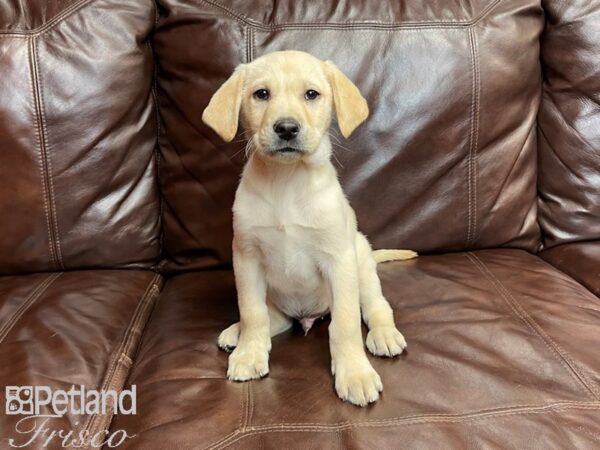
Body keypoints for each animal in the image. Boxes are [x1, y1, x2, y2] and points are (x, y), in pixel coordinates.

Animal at [202, 50, 418, 408]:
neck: (287, 181)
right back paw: (237, 334)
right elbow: (252, 312)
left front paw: (354, 374)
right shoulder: (246, 257)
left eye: (311, 94)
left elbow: (345, 324)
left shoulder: (338, 261)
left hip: (362, 267)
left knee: (377, 307)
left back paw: (384, 334)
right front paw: (249, 353)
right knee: (270, 316)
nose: (287, 128)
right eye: (261, 94)